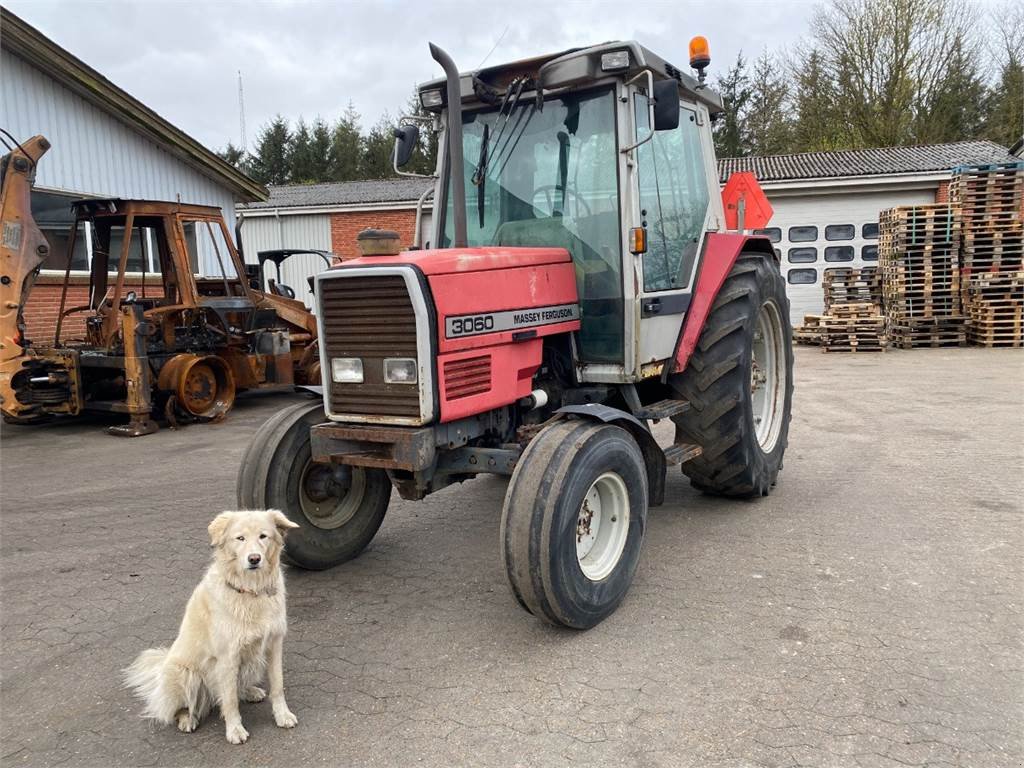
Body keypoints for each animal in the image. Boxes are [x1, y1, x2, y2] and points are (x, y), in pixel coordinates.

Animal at [123, 512, 299, 745]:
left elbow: (278, 686)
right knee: (181, 708)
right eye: (240, 538)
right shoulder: (227, 657)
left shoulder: (273, 646)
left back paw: (250, 692)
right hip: (185, 674)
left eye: (263, 536)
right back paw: (187, 719)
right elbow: (230, 700)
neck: (250, 591)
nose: (254, 559)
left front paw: (282, 715)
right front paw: (234, 730)